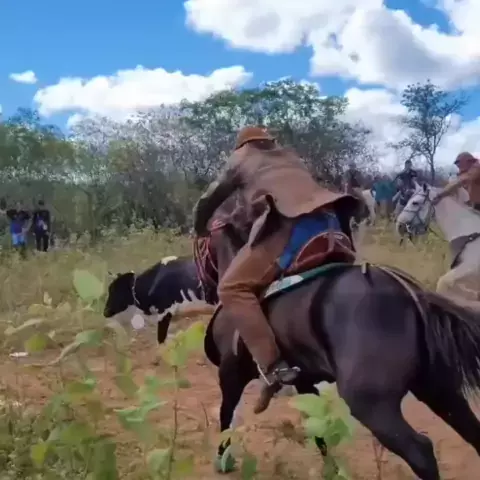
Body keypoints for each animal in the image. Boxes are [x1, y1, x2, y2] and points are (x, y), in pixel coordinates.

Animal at [157, 213, 480, 480]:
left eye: (200, 244)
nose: (201, 283)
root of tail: (406, 291)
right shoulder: (303, 383)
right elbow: (319, 432)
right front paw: (331, 469)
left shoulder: (229, 374)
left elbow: (225, 417)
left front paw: (222, 459)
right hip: (437, 389)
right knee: (472, 432)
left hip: (373, 404)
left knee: (421, 452)